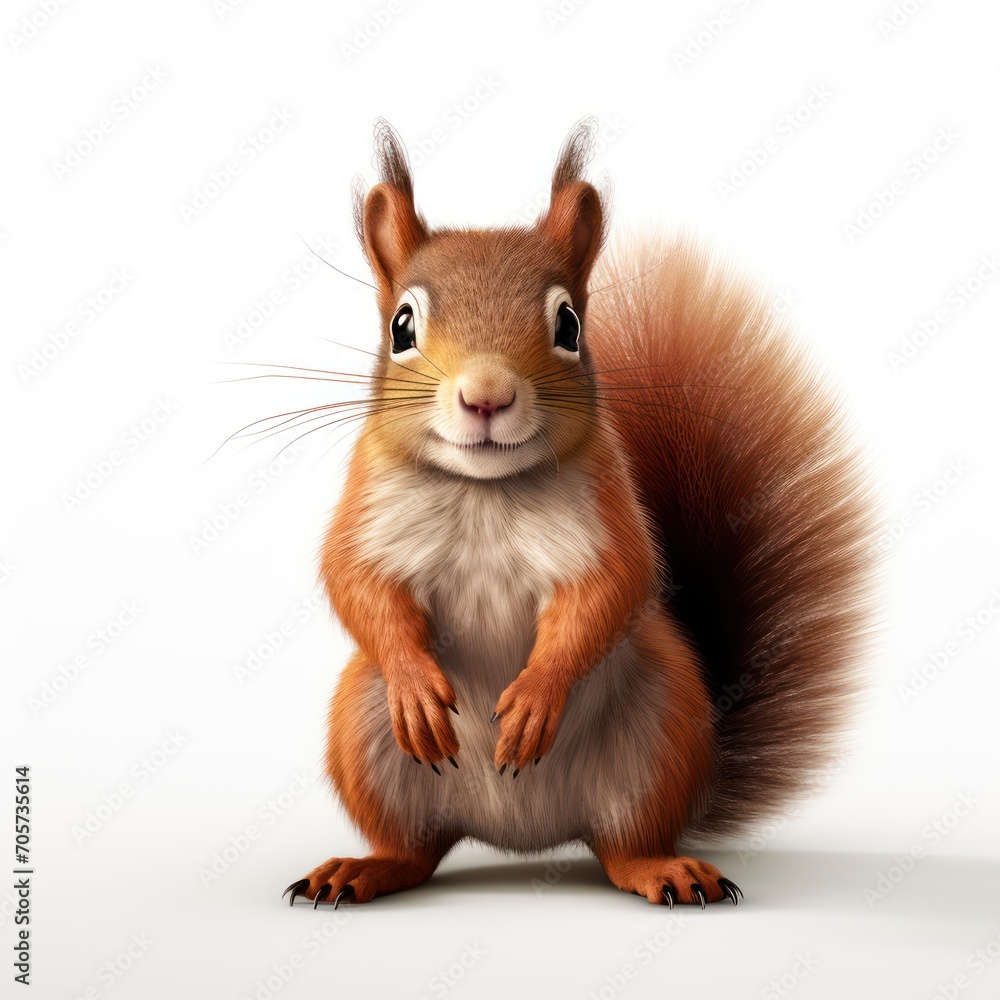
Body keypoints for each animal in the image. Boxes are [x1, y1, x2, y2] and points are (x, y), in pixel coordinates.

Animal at [283, 119, 875, 909]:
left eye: (568, 323)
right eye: (401, 326)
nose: (486, 395)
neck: (486, 491)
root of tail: (522, 838)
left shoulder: (607, 515)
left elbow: (609, 590)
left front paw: (535, 698)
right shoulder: (367, 509)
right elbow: (356, 582)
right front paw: (415, 683)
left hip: (660, 730)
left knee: (625, 845)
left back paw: (665, 869)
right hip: (362, 730)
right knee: (413, 848)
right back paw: (362, 869)